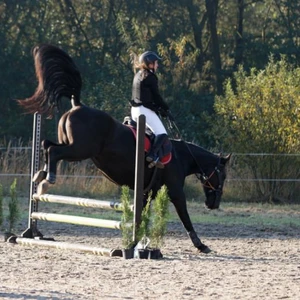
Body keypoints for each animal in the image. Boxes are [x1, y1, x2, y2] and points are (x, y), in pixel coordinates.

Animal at [17, 44, 231, 253]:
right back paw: (47, 180)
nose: (213, 204)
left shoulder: (146, 193)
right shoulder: (176, 191)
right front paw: (201, 245)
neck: (183, 157)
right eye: (223, 175)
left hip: (72, 146)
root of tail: (77, 105)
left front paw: (141, 243)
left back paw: (41, 175)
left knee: (47, 144)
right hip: (80, 150)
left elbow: (142, 216)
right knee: (54, 151)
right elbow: (185, 218)